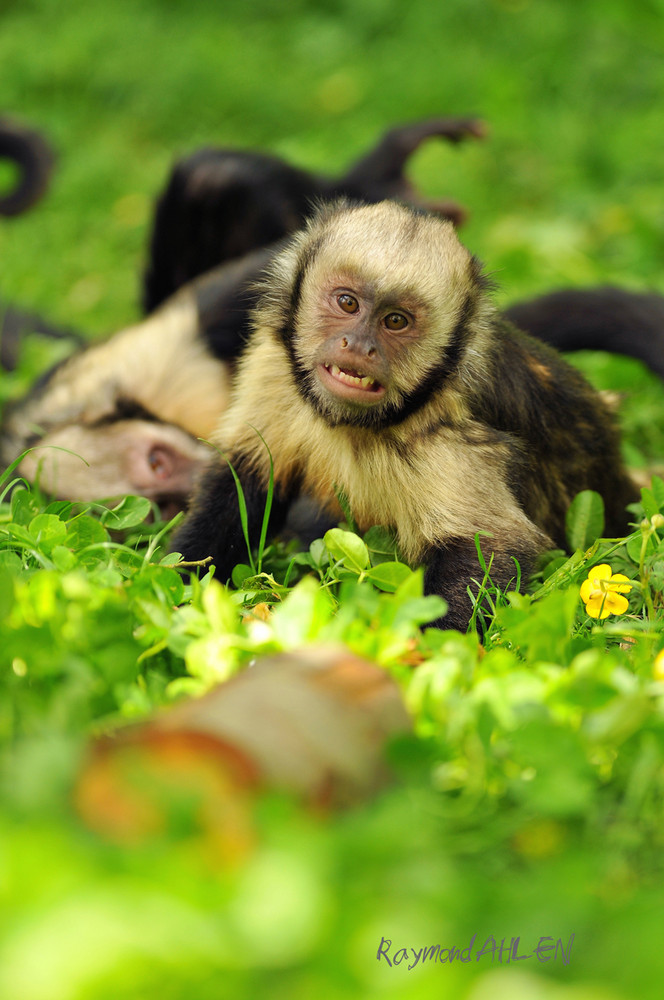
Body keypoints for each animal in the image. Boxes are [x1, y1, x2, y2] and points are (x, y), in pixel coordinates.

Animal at [171, 199, 640, 628]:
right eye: (348, 303)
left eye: (395, 321)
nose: (360, 346)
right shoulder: (273, 368)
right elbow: (244, 478)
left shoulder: (450, 429)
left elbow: (491, 547)